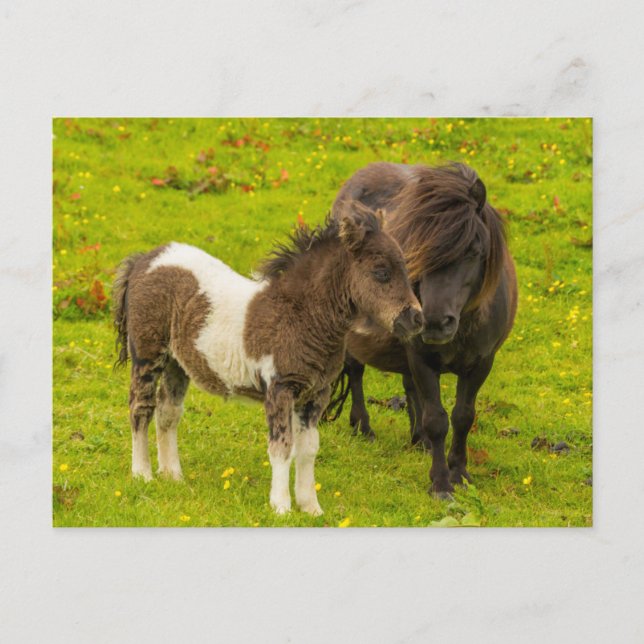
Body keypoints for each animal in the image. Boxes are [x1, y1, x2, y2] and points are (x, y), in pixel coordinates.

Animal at [112, 205, 423, 515]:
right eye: (381, 272)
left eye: (405, 269)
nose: (416, 318)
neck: (300, 316)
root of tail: (144, 259)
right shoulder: (280, 388)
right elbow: (282, 446)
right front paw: (281, 506)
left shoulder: (316, 394)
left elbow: (308, 449)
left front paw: (311, 507)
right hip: (147, 355)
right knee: (141, 408)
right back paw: (143, 474)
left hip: (177, 364)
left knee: (168, 412)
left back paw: (172, 476)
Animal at [328, 162, 518, 499]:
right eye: (418, 251)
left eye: (474, 250)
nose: (434, 322)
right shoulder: (421, 358)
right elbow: (437, 419)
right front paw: (440, 482)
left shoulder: (481, 363)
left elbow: (463, 416)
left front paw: (460, 473)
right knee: (355, 371)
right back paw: (363, 427)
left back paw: (419, 440)